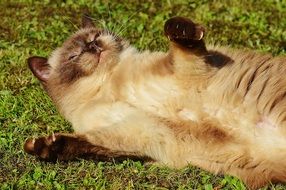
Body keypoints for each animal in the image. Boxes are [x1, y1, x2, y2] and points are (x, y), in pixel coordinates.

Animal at [23, 14, 286, 189]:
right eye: (74, 56)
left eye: (95, 36)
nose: (93, 46)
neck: (109, 85)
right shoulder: (140, 134)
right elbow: (86, 144)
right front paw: (43, 147)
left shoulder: (187, 72)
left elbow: (181, 42)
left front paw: (177, 27)